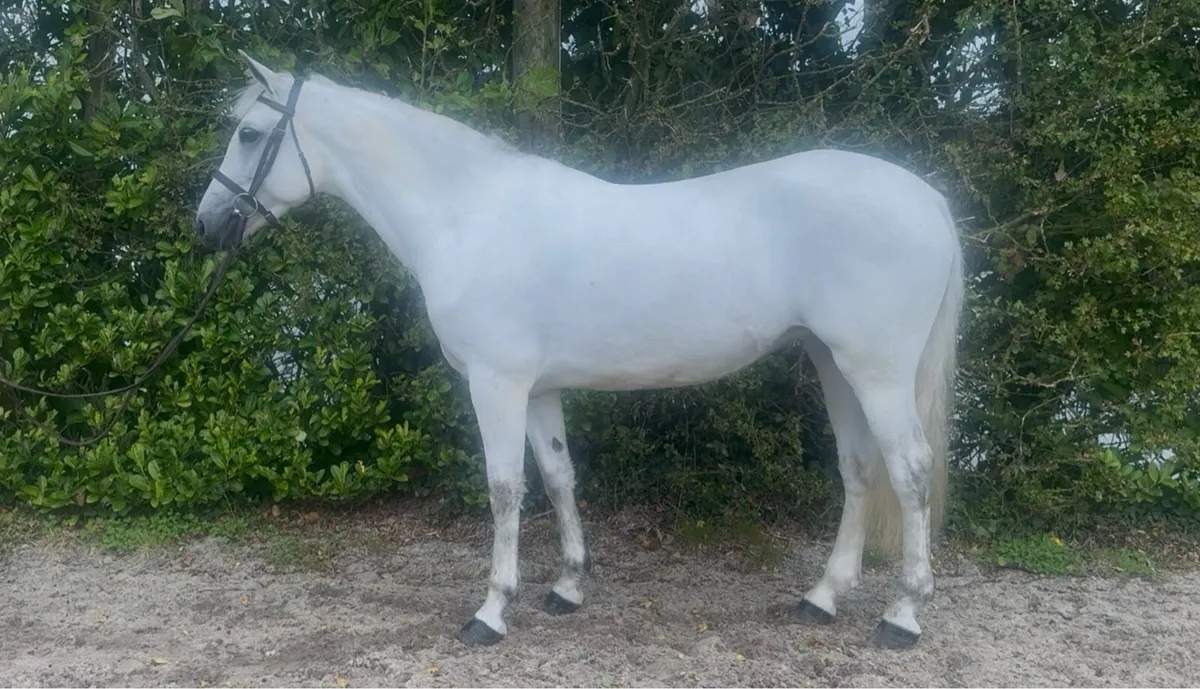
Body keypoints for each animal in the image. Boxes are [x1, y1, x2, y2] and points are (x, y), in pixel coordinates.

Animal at [195, 51, 964, 651]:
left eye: (250, 132)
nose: (207, 224)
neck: (468, 215)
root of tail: (930, 201)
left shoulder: (496, 384)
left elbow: (505, 487)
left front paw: (491, 610)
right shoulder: (538, 389)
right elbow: (560, 476)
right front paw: (566, 587)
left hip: (878, 372)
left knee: (911, 472)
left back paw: (901, 616)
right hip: (835, 365)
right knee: (858, 468)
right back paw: (822, 598)